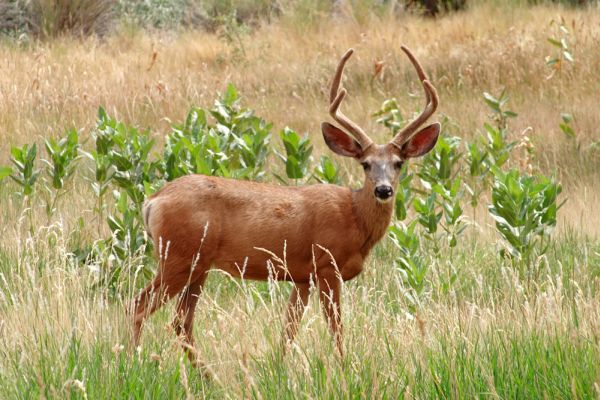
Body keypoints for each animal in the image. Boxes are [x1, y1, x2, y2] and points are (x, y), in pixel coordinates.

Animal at [132, 46, 440, 366]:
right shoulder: (327, 264)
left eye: (398, 163)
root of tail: (153, 201)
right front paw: (345, 367)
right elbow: (336, 327)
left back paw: (207, 373)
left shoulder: (303, 277)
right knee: (140, 305)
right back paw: (131, 360)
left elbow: (289, 329)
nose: (383, 189)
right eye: (365, 164)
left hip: (198, 264)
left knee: (181, 320)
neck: (355, 216)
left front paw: (279, 367)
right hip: (178, 257)